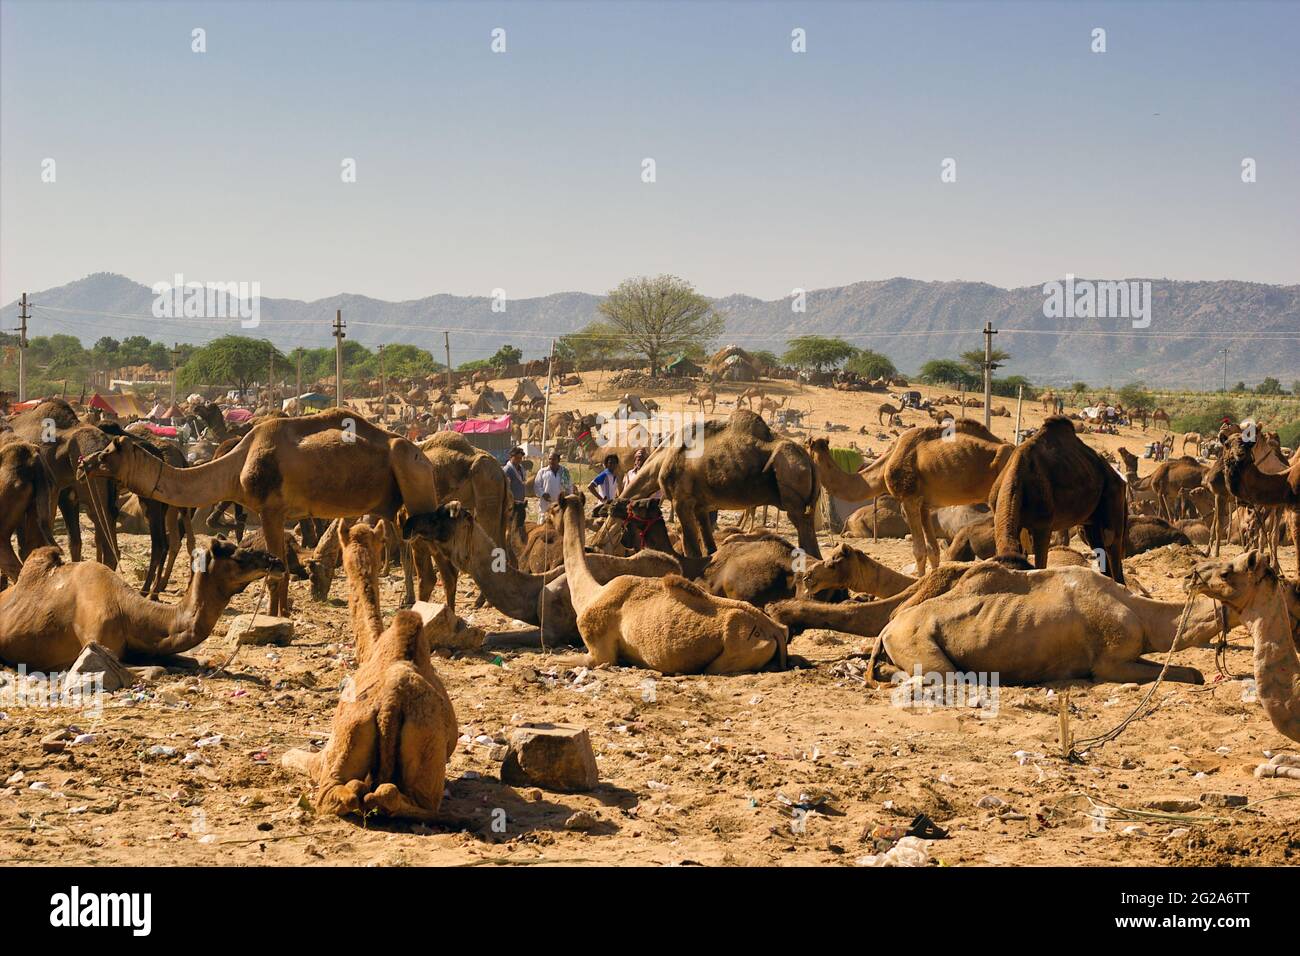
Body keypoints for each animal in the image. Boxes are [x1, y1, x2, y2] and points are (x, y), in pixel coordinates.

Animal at [78, 409, 443, 618]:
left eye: (109, 451)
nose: (84, 463)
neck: (236, 465)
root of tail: (423, 454)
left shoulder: (270, 508)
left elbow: (275, 571)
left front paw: (274, 616)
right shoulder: (279, 513)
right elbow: (279, 566)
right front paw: (279, 614)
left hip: (415, 480)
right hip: (392, 502)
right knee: (405, 542)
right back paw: (410, 602)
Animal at [555, 494, 788, 674]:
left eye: (555, 506)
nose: (604, 506)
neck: (590, 593)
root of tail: (775, 631)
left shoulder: (599, 652)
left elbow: (557, 659)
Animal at [616, 409, 821, 559]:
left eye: (624, 523)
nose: (622, 544)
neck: (663, 458)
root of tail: (809, 461)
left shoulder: (681, 500)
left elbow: (693, 549)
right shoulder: (700, 506)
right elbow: (709, 548)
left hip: (792, 484)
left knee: (803, 531)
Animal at [808, 424, 1013, 574]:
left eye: (805, 446)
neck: (885, 466)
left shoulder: (909, 498)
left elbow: (919, 551)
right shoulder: (925, 505)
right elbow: (933, 550)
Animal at [990, 417, 1127, 583]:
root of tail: (1119, 478)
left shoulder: (1043, 526)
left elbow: (1041, 565)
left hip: (1114, 499)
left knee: (1112, 544)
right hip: (1091, 524)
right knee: (1100, 546)